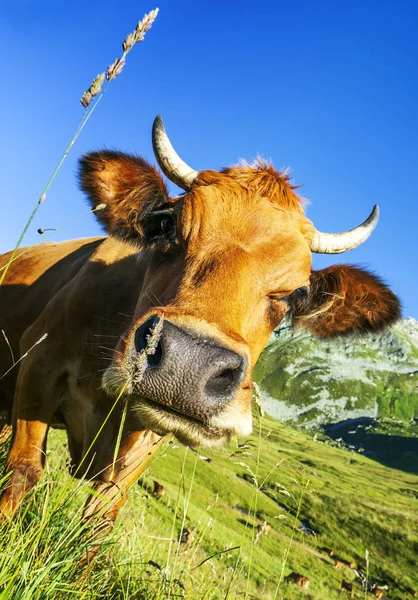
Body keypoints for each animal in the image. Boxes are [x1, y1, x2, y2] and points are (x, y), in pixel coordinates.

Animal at [0, 113, 400, 548]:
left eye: (297, 293)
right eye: (166, 224)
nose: (188, 363)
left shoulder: (152, 435)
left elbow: (102, 516)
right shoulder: (40, 362)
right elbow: (22, 472)